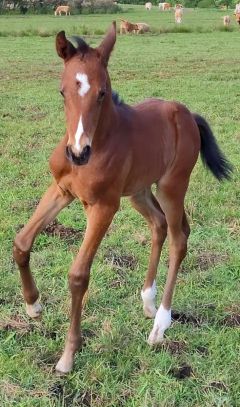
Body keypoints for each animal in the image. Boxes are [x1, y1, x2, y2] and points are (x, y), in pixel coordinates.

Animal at [13, 21, 232, 372]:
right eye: (62, 91)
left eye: (102, 92)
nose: (78, 152)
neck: (101, 141)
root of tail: (186, 113)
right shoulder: (61, 189)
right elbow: (22, 241)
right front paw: (34, 305)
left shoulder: (104, 206)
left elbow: (78, 275)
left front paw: (69, 354)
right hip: (139, 192)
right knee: (159, 225)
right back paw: (147, 300)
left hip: (172, 186)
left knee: (179, 237)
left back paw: (160, 324)